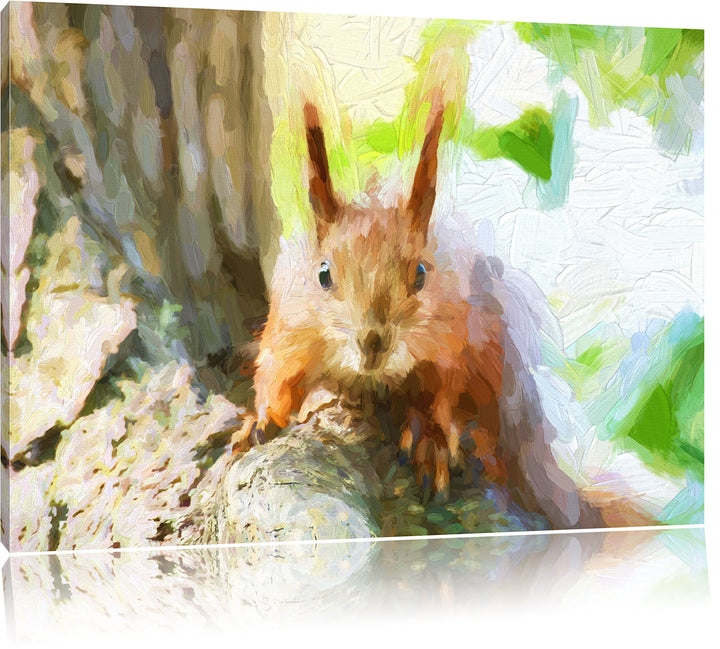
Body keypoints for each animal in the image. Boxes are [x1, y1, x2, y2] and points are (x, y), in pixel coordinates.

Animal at [231, 100, 614, 530]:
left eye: (420, 273)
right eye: (323, 274)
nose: (373, 343)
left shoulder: (457, 339)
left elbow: (444, 394)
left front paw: (432, 439)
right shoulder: (290, 330)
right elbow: (275, 378)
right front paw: (262, 419)